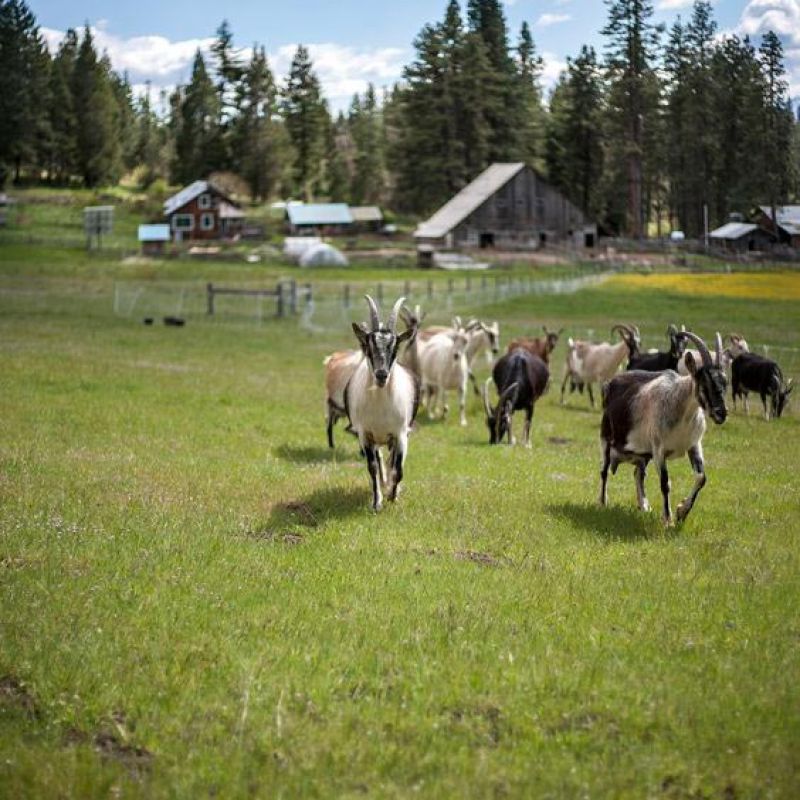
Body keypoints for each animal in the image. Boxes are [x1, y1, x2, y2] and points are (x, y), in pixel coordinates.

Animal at [345, 295, 419, 511]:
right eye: (369, 347)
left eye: (395, 348)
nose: (381, 375)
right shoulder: (365, 434)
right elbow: (372, 468)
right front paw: (376, 502)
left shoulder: (401, 433)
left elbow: (399, 468)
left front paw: (393, 496)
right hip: (376, 439)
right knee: (379, 461)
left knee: (392, 461)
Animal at [599, 331, 728, 525]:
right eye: (704, 383)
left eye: (725, 382)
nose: (721, 413)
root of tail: (611, 382)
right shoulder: (659, 449)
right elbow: (665, 483)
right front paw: (668, 519)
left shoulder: (694, 445)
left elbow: (701, 478)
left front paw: (682, 511)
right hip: (607, 439)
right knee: (604, 471)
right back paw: (602, 502)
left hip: (644, 452)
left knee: (638, 473)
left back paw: (644, 505)